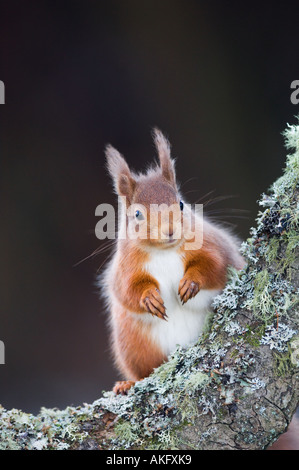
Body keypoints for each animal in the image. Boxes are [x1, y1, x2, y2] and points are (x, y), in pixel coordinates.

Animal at [102, 127, 245, 392]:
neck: (164, 251)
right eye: (137, 214)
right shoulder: (125, 268)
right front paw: (149, 298)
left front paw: (191, 282)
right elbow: (127, 290)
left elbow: (215, 266)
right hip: (135, 348)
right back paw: (127, 384)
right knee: (143, 373)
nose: (170, 231)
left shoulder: (213, 246)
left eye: (180, 204)